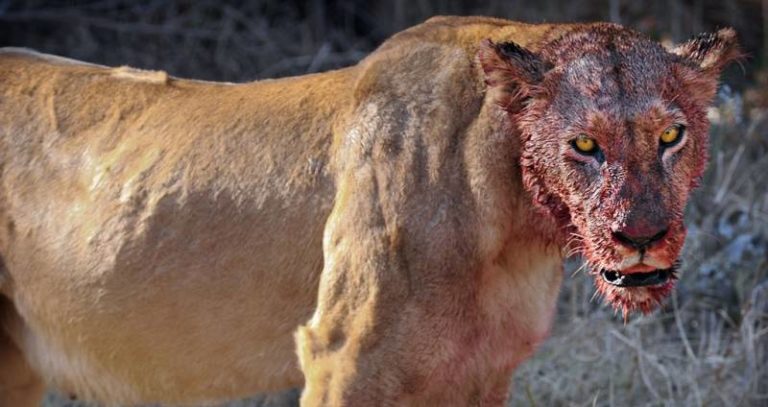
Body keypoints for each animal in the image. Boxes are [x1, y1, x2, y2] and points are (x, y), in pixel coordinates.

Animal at [0, 16, 739, 407]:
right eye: (584, 145)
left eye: (671, 136)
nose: (641, 235)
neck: (516, 231)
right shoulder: (345, 358)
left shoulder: (482, 373)